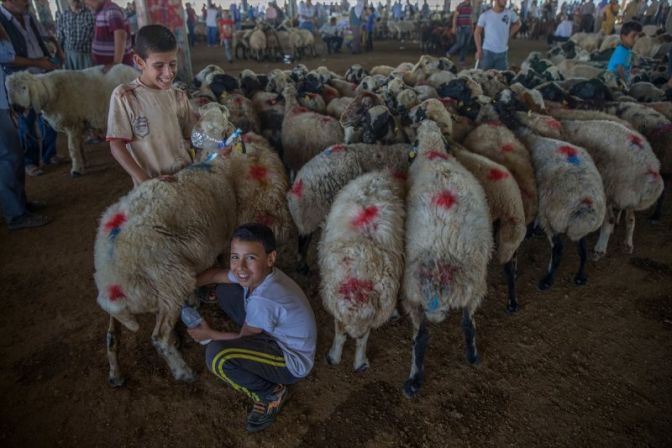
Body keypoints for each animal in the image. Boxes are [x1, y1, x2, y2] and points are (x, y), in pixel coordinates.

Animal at [4, 65, 139, 177]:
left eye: (24, 87)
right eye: (8, 90)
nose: (16, 108)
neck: (51, 92)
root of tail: (135, 70)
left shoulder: (72, 123)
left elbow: (72, 148)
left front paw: (76, 170)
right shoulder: (78, 124)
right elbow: (79, 146)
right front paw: (83, 163)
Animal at [402, 120, 490, 400]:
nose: (424, 120)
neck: (434, 153)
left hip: (412, 294)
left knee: (421, 337)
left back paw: (413, 381)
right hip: (474, 289)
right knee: (468, 324)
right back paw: (472, 356)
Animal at [560, 120, 664, 260]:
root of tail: (649, 165)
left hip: (610, 187)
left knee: (610, 220)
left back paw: (600, 249)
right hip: (628, 194)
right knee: (630, 219)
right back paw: (628, 244)